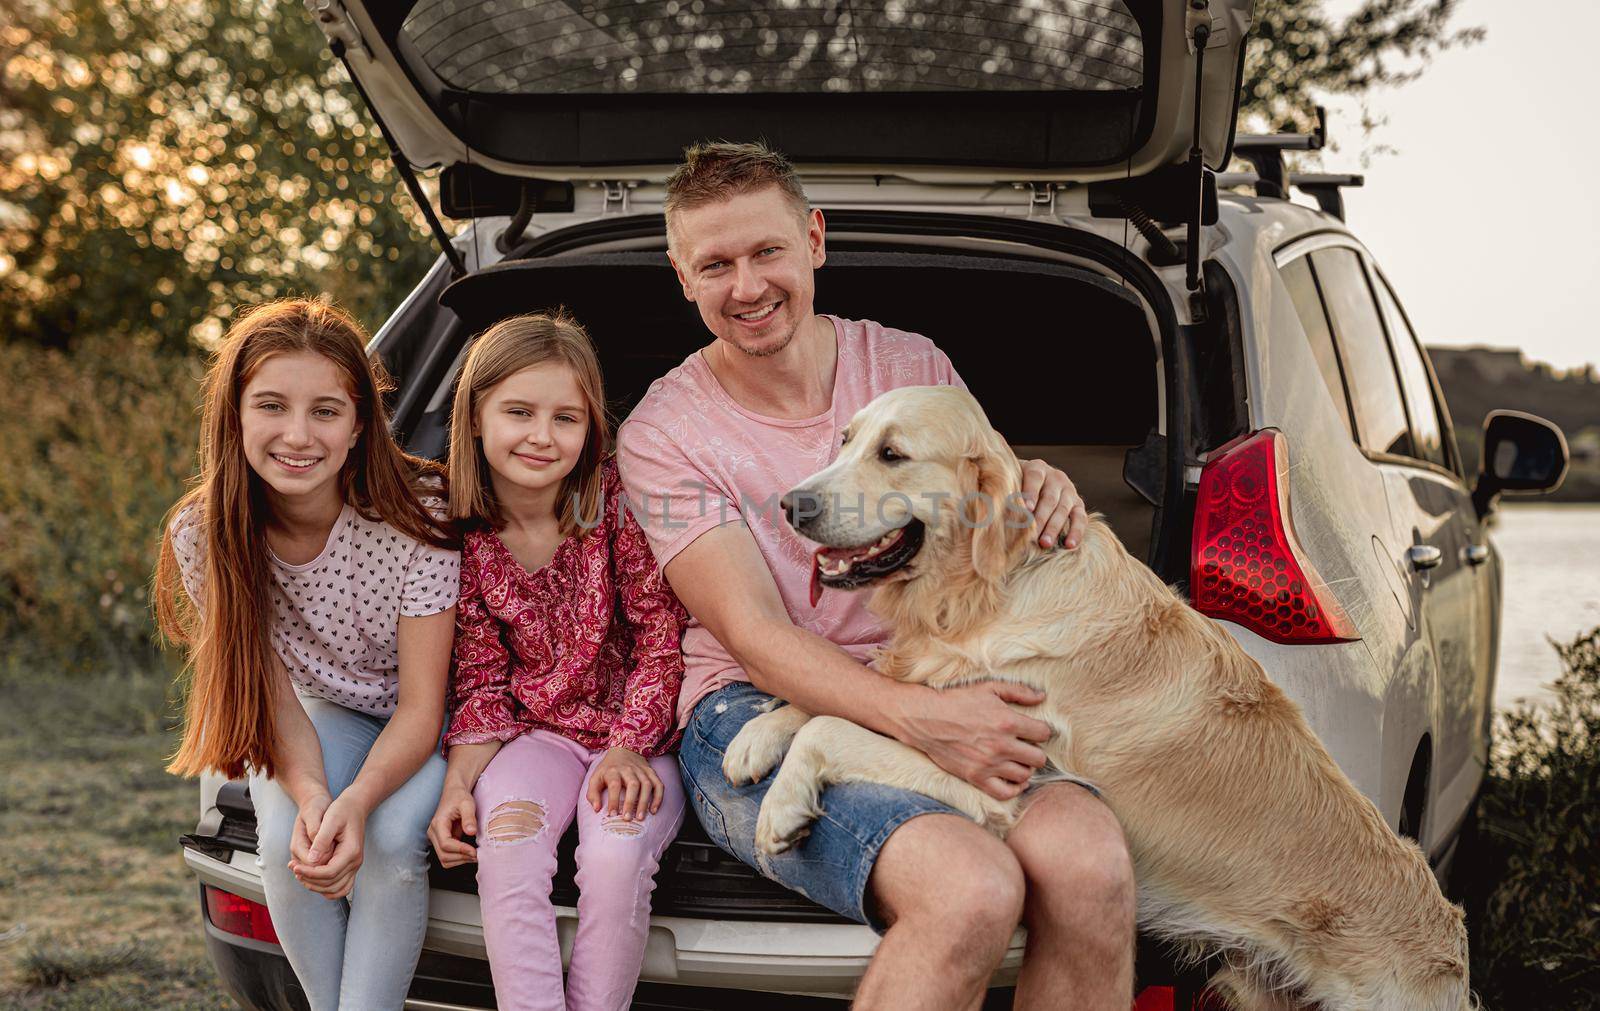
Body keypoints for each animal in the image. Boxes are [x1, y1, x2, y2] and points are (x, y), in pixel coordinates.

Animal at [726, 385, 1472, 1011]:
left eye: (892, 454)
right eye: (846, 440)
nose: (792, 505)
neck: (988, 590)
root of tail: (1454, 947)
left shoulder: (1004, 770)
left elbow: (831, 723)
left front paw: (783, 805)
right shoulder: (931, 687)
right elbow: (847, 695)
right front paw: (752, 738)